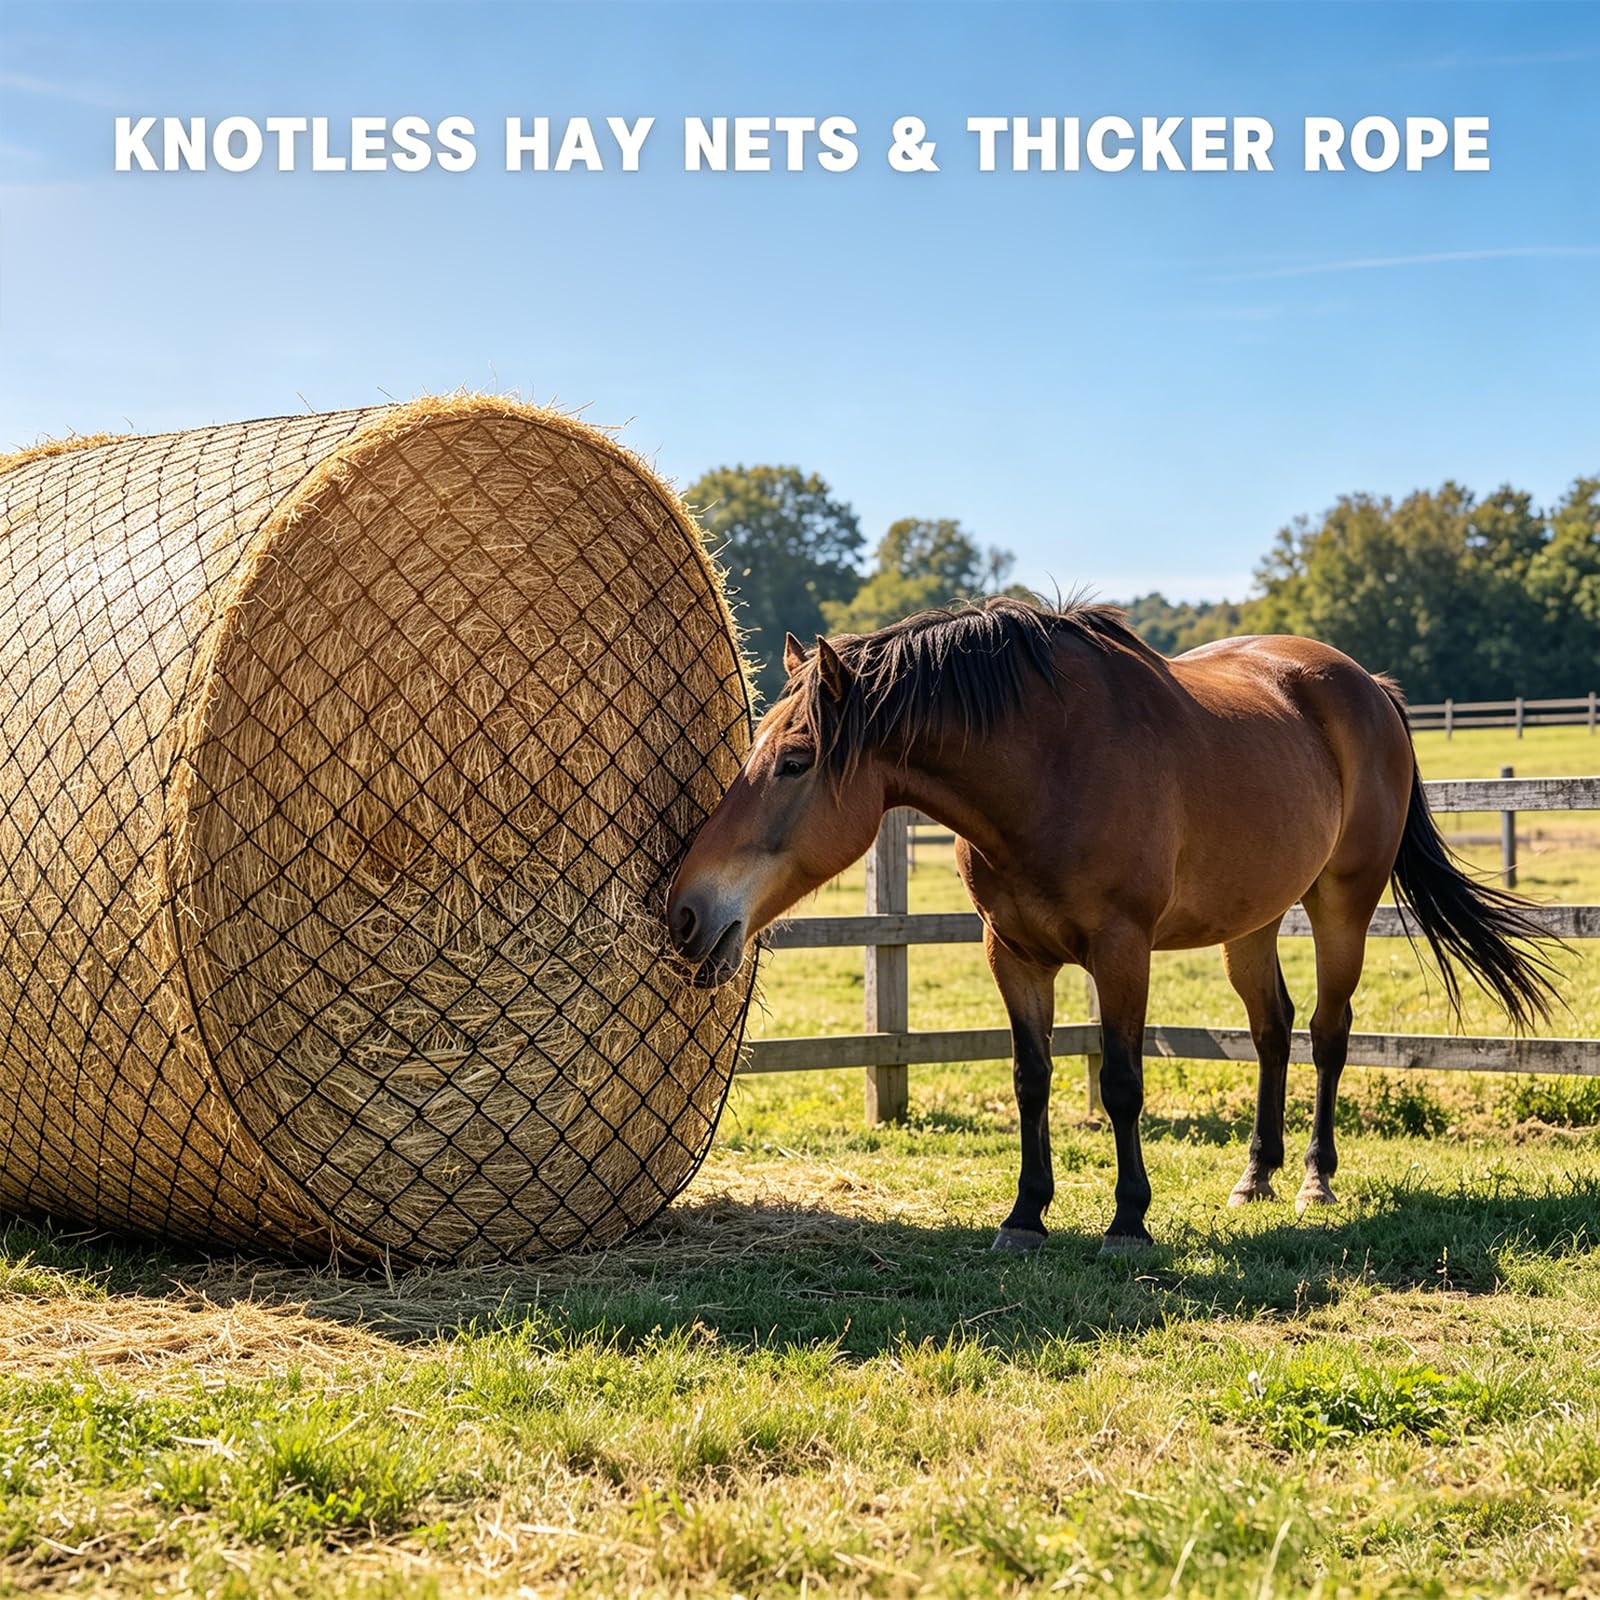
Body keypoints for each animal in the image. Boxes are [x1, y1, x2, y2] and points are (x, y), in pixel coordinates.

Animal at [667, 597, 1558, 1253]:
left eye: (794, 760)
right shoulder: (1012, 953)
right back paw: (1256, 1175)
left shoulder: (1123, 950)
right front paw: (1025, 1216)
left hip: (1343, 902)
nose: (684, 911)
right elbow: (1031, 1080)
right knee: (1273, 1029)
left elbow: (1123, 1083)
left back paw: (1313, 1176)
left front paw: (1128, 1221)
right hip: (1254, 918)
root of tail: (1365, 684)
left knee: (1329, 1033)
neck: (1048, 767)